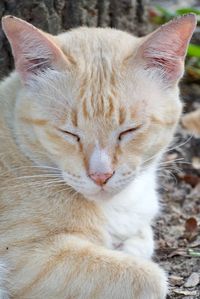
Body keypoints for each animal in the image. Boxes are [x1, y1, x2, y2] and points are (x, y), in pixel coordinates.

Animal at [0, 13, 197, 299]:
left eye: (129, 131)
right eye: (70, 133)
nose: (100, 175)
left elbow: (142, 240)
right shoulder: (26, 261)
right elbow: (150, 277)